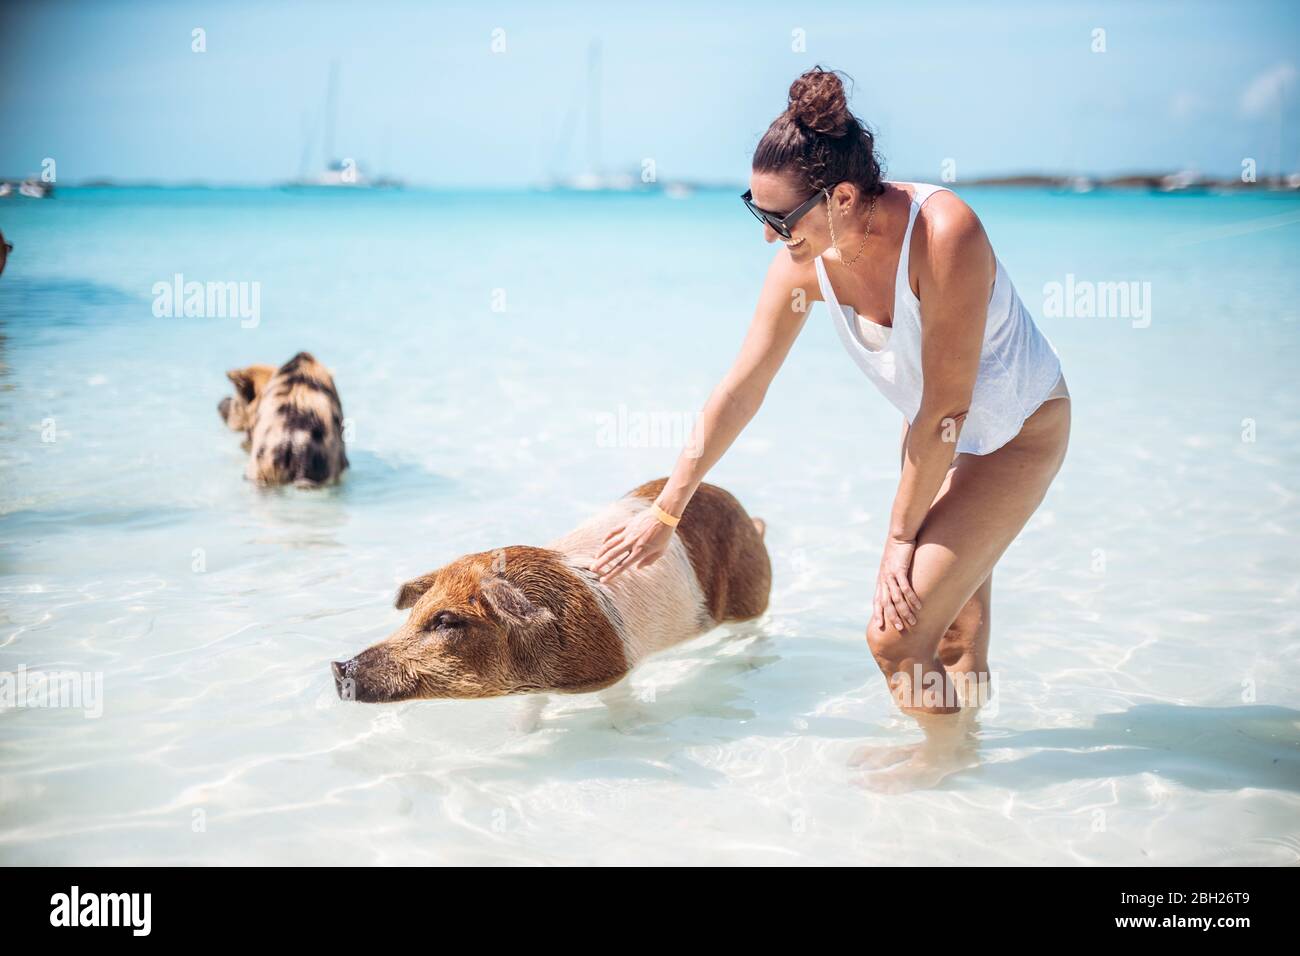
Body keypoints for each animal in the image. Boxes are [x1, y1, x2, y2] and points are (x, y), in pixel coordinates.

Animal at [330, 478, 769, 712]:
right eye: (414, 612)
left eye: (446, 620)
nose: (337, 666)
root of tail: (748, 516)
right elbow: (532, 711)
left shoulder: (612, 671)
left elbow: (620, 704)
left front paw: (631, 730)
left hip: (749, 594)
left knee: (753, 632)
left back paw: (752, 667)